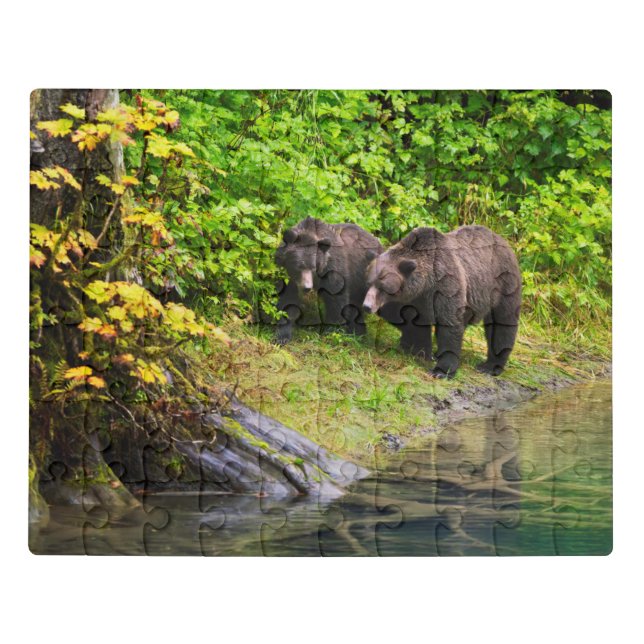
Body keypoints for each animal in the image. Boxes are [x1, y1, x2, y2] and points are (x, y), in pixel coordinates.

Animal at [362, 225, 522, 378]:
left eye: (383, 287)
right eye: (369, 282)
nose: (367, 306)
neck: (425, 284)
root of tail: (502, 239)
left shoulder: (445, 284)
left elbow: (449, 325)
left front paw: (441, 370)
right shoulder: (410, 299)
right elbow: (407, 321)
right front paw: (420, 349)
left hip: (503, 284)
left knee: (502, 324)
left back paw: (490, 366)